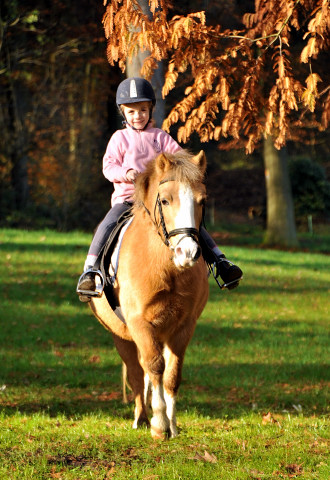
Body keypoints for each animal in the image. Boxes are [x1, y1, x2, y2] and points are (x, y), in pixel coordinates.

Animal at [89, 150, 209, 438]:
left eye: (202, 201)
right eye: (165, 200)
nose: (187, 253)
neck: (167, 267)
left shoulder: (183, 327)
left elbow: (172, 375)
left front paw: (173, 425)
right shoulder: (140, 324)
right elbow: (154, 367)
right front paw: (159, 424)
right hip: (122, 336)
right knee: (136, 372)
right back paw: (142, 417)